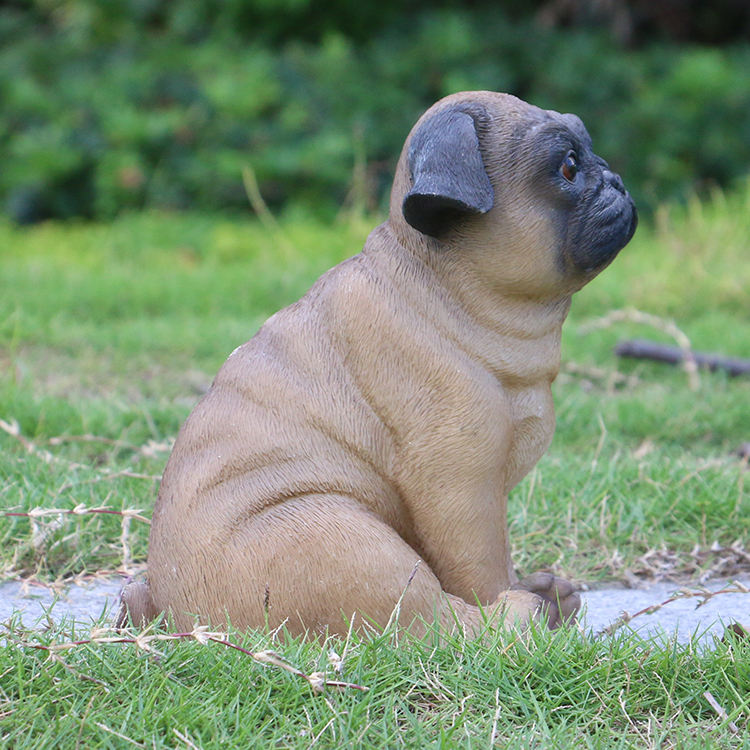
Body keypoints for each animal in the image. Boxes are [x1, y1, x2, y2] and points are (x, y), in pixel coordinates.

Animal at [118, 91, 637, 637]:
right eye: (569, 166)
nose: (616, 179)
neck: (445, 292)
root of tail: (170, 614)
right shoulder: (460, 483)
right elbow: (481, 567)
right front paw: (510, 605)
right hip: (345, 541)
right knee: (436, 619)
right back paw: (523, 615)